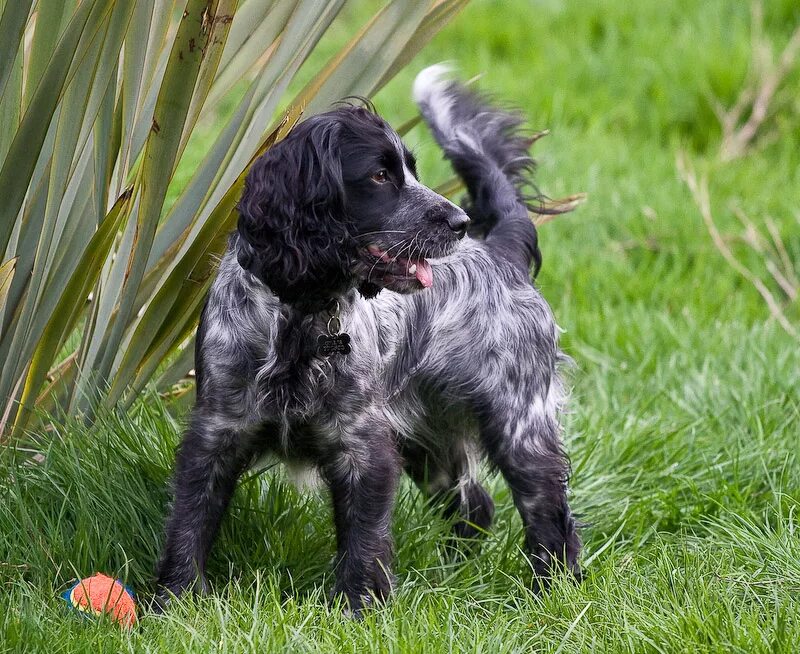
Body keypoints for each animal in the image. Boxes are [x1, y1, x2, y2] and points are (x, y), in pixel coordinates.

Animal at [155, 66, 580, 616]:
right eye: (380, 176)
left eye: (413, 171)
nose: (459, 222)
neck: (301, 321)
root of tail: (498, 251)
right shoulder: (215, 433)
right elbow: (189, 522)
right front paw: (173, 601)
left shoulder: (363, 445)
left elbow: (365, 537)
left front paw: (359, 608)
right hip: (427, 438)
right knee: (476, 504)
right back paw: (453, 572)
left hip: (517, 421)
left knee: (548, 513)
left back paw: (552, 591)